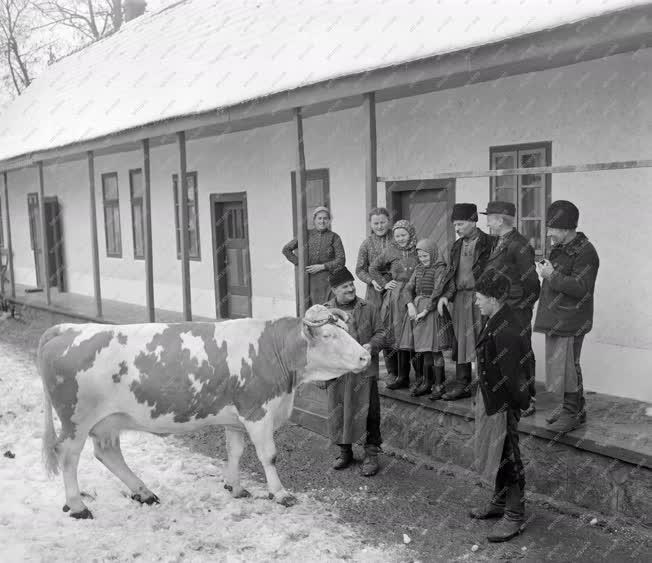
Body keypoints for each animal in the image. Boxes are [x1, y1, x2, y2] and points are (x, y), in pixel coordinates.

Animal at [38, 306, 370, 524]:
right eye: (329, 335)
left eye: (345, 331)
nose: (366, 355)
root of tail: (67, 328)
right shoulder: (257, 411)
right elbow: (268, 455)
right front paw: (280, 493)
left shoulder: (236, 417)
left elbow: (235, 451)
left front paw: (235, 487)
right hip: (76, 420)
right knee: (68, 456)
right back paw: (77, 505)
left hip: (107, 422)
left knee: (108, 453)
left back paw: (143, 492)